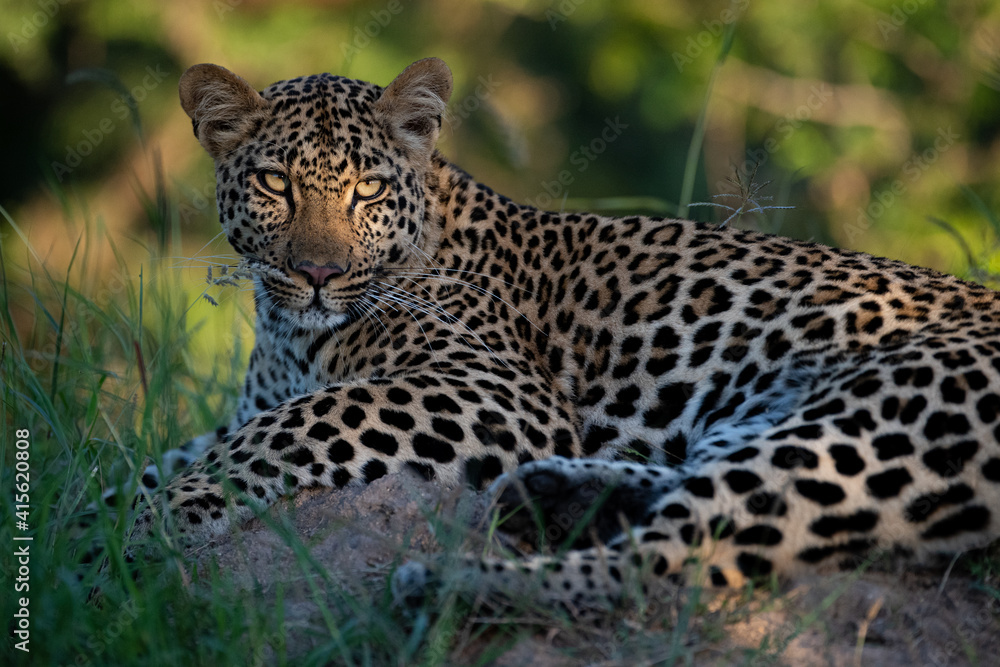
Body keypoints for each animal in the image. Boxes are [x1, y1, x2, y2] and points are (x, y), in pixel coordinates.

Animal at [123, 57, 1000, 612]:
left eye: (366, 190)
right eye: (275, 183)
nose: (317, 272)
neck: (292, 331)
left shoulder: (490, 388)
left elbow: (295, 424)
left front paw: (159, 520)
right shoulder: (247, 404)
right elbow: (156, 454)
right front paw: (103, 517)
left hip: (888, 407)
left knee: (677, 558)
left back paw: (446, 584)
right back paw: (557, 490)